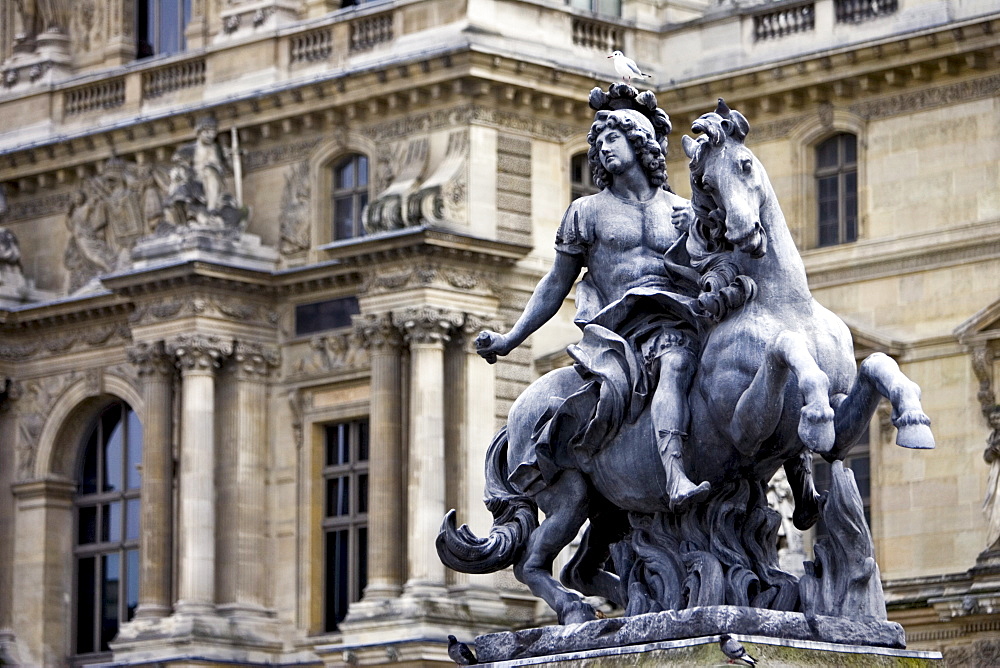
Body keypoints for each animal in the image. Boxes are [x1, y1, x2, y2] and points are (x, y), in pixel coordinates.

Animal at [434, 99, 932, 628]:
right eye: (705, 182)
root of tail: (517, 409)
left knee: (581, 567)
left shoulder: (841, 428)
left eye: (745, 164)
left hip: (610, 505)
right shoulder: (745, 428)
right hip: (568, 494)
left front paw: (912, 420)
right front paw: (813, 413)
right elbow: (786, 352)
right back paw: (584, 609)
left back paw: (632, 606)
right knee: (533, 564)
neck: (784, 304)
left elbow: (876, 365)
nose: (742, 232)